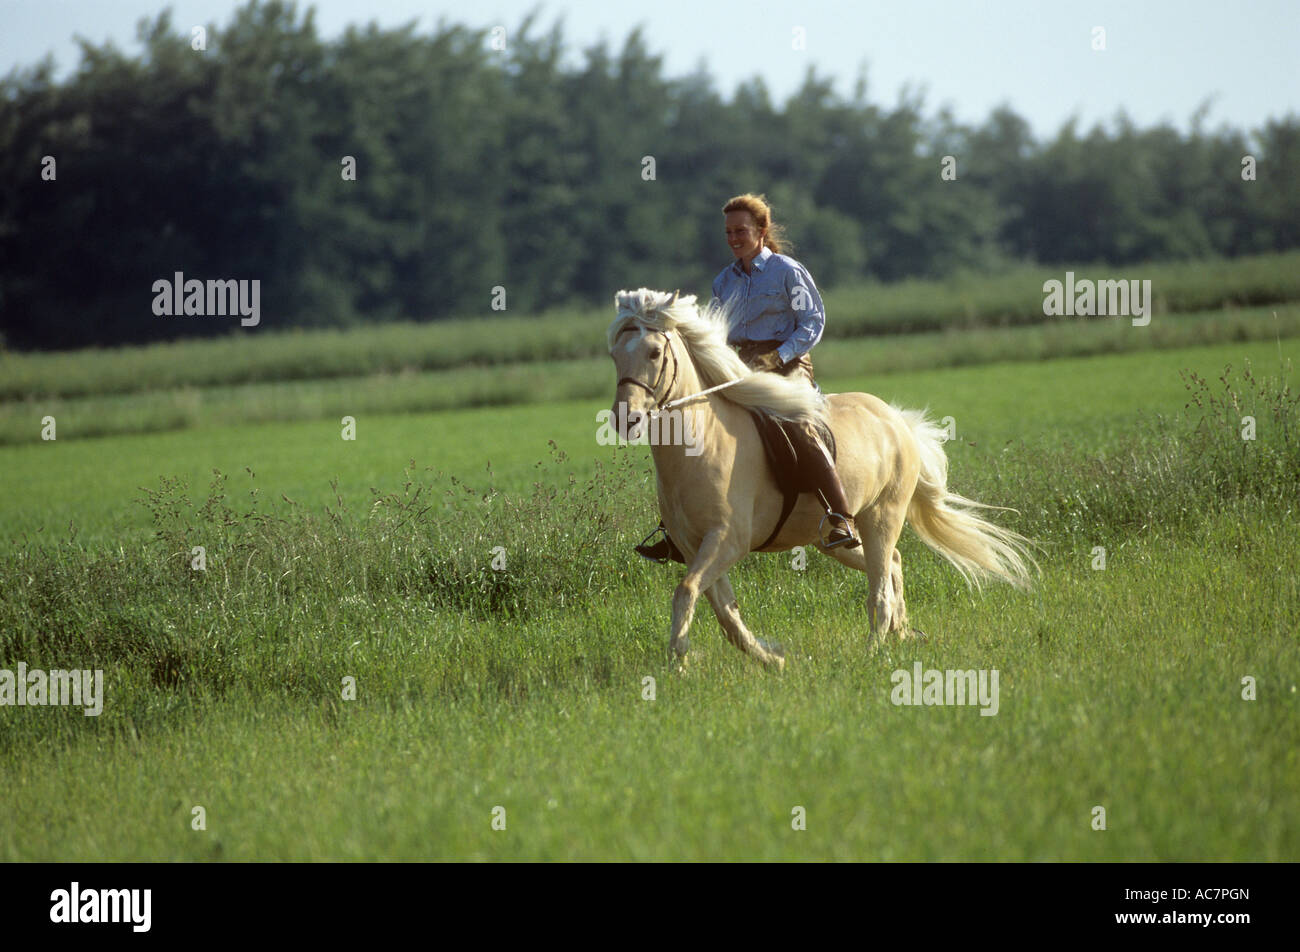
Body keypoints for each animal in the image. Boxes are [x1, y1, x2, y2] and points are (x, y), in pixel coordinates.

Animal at [608, 290, 1034, 671]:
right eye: (615, 355)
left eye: (654, 353)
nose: (625, 418)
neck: (703, 445)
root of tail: (896, 419)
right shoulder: (695, 545)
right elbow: (724, 611)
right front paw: (771, 658)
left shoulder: (727, 540)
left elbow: (687, 592)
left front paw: (678, 662)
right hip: (835, 537)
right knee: (892, 565)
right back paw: (901, 632)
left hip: (883, 517)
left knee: (879, 589)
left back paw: (872, 652)